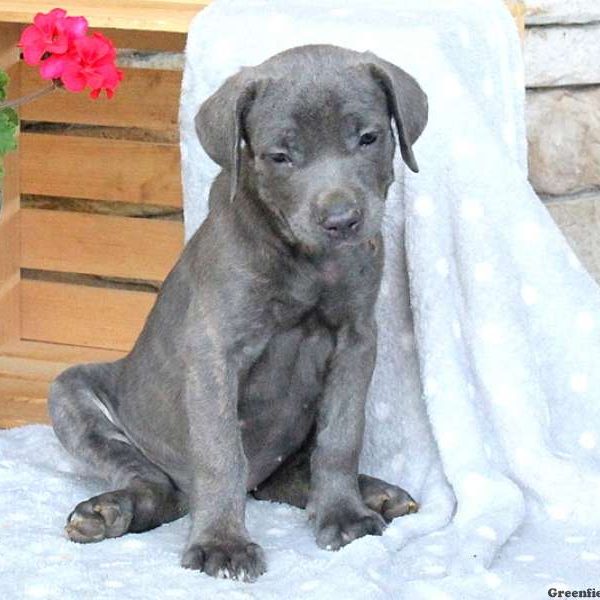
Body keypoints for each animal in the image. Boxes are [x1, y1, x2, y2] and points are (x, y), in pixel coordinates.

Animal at [50, 43, 426, 580]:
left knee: (289, 473)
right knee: (156, 485)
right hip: (73, 397)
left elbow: (341, 436)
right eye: (280, 157)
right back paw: (107, 511)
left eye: (369, 138)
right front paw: (222, 543)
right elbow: (220, 451)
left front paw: (344, 515)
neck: (306, 261)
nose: (341, 220)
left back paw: (372, 493)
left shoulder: (356, 340)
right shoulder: (215, 350)